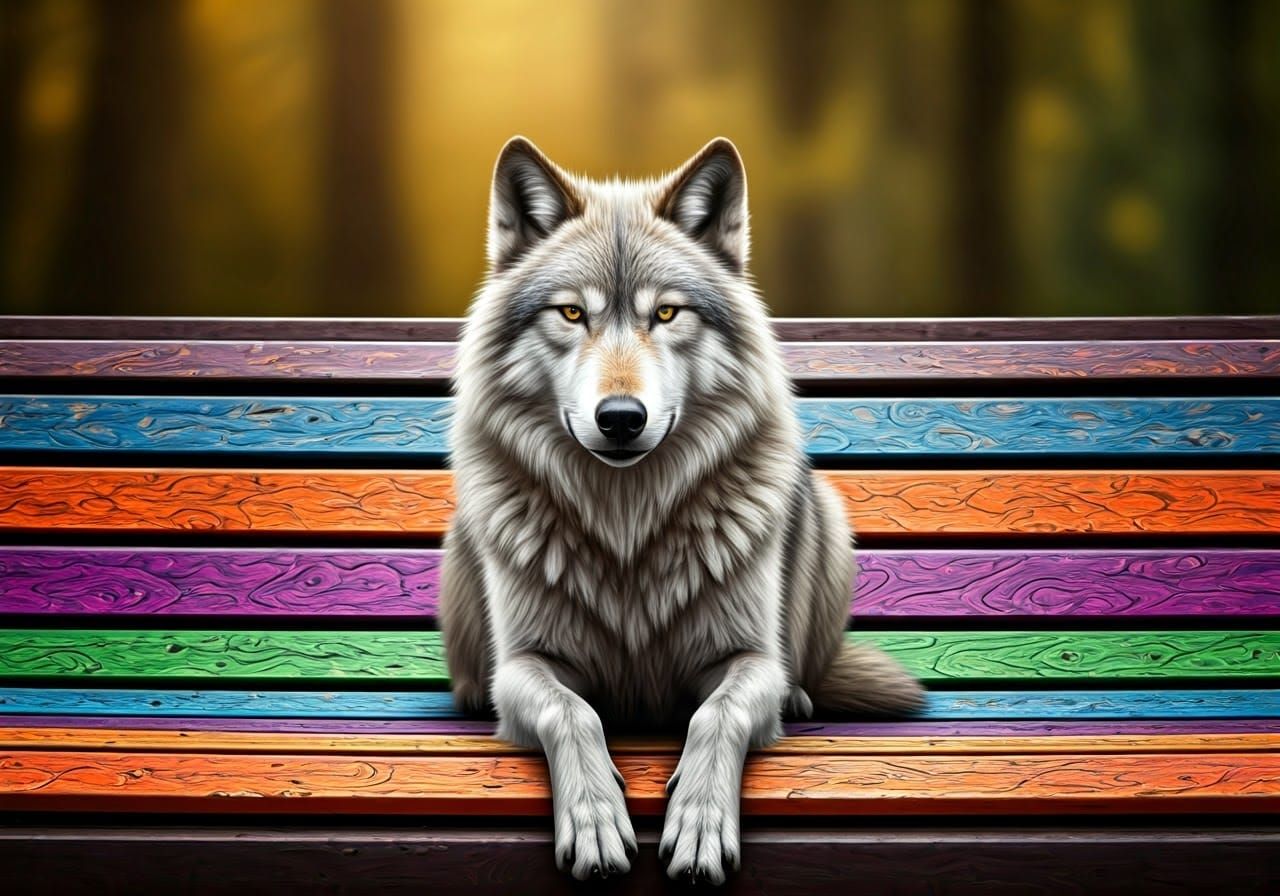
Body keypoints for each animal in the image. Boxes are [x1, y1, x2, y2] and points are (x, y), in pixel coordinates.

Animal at [439, 136, 925, 884]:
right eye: (571, 314)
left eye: (665, 314)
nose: (620, 418)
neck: (627, 524)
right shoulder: (524, 664)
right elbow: (573, 713)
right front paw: (596, 821)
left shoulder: (749, 658)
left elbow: (715, 715)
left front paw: (698, 824)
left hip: (827, 517)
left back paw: (802, 695)